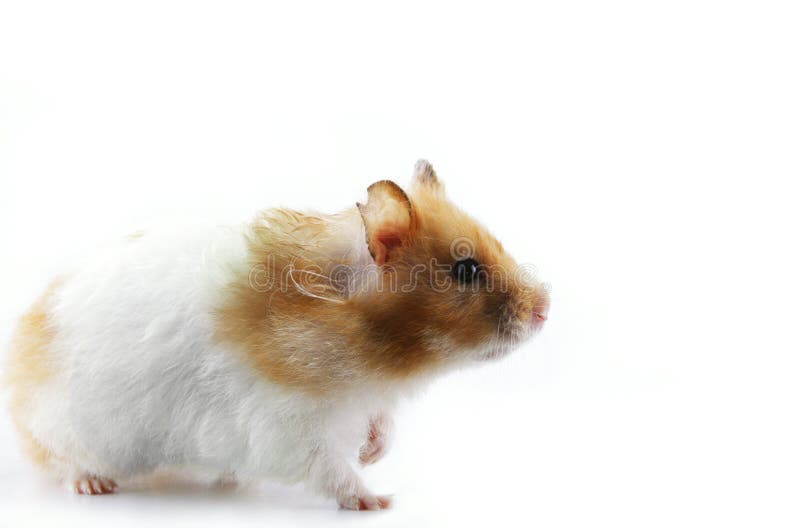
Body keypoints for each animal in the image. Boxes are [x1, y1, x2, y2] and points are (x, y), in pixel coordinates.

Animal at [3, 160, 549, 510]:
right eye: (465, 269)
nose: (546, 309)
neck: (375, 357)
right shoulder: (287, 427)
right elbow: (332, 470)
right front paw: (378, 501)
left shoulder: (367, 401)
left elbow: (382, 426)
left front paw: (373, 454)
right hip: (66, 428)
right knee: (59, 460)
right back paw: (94, 485)